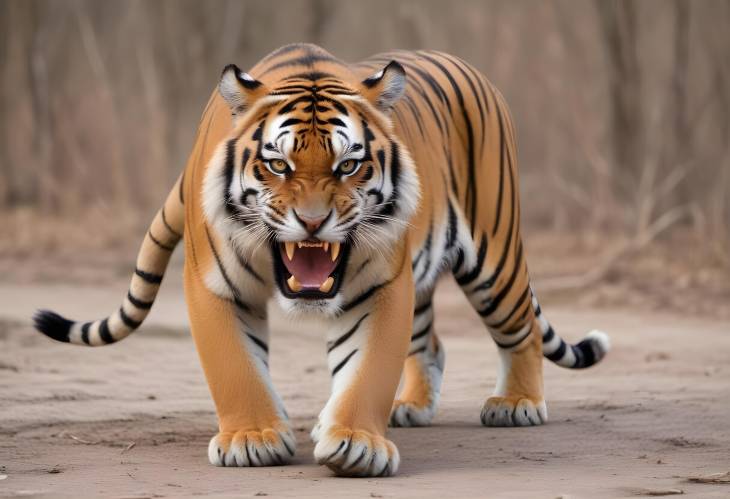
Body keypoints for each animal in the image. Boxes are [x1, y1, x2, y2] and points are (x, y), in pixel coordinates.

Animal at [35, 45, 608, 478]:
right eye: (278, 165)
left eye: (348, 165)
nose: (312, 222)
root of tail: (469, 67)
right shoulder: (213, 283)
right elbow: (235, 365)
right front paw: (253, 437)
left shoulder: (382, 285)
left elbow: (366, 368)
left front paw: (355, 441)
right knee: (432, 343)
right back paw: (409, 408)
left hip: (495, 255)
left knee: (521, 330)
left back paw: (515, 405)